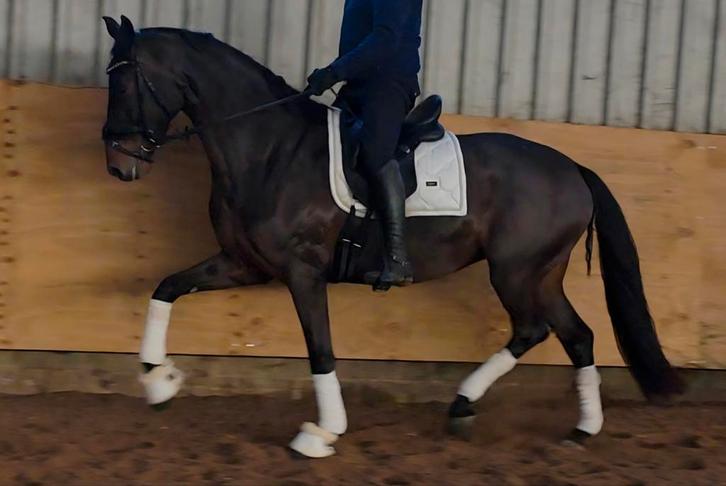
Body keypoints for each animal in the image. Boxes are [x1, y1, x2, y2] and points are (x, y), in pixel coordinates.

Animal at [100, 16, 684, 458]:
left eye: (124, 83)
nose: (117, 165)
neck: (269, 148)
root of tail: (572, 169)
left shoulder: (301, 271)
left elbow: (320, 350)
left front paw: (322, 433)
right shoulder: (243, 263)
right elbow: (166, 287)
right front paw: (157, 381)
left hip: (517, 270)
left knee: (536, 329)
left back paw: (481, 406)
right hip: (541, 272)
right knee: (573, 334)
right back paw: (568, 426)